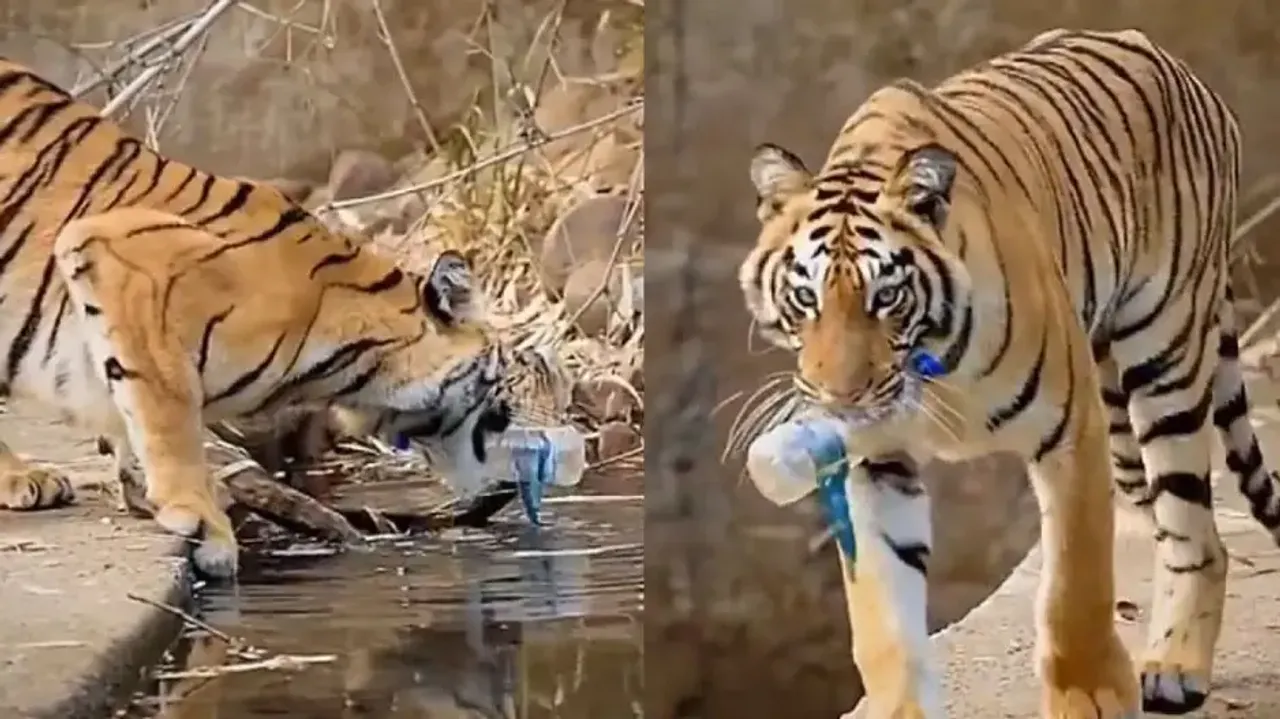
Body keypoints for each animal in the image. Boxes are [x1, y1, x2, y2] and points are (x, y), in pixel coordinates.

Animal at [738, 28, 1280, 719]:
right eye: (805, 297)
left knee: (1195, 534)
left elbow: (1074, 583)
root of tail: (1175, 64)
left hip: (1168, 355)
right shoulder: (875, 461)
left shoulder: (1070, 432)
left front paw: (1090, 696)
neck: (931, 371)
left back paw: (1174, 668)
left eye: (886, 297)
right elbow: (884, 617)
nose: (842, 397)